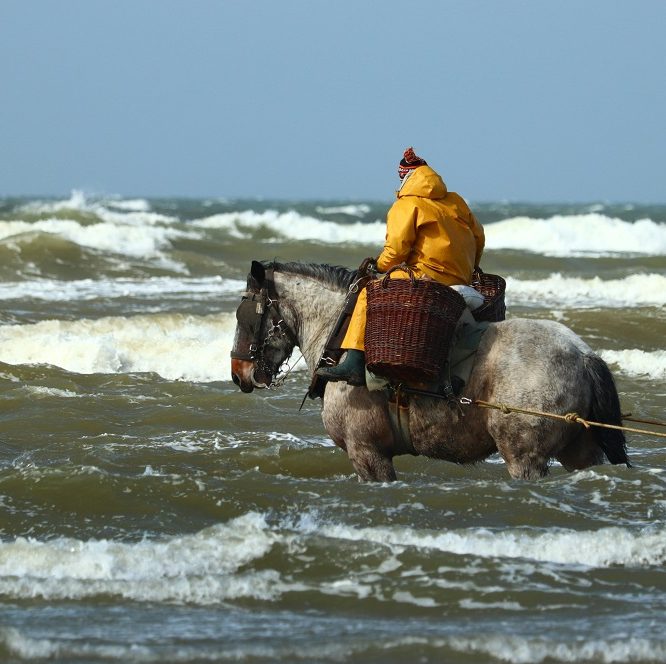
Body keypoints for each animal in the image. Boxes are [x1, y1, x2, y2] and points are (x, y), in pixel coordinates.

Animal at [230, 260, 628, 482]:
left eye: (244, 315)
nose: (238, 373)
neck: (339, 334)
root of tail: (583, 354)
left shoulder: (367, 453)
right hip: (579, 451)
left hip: (525, 458)